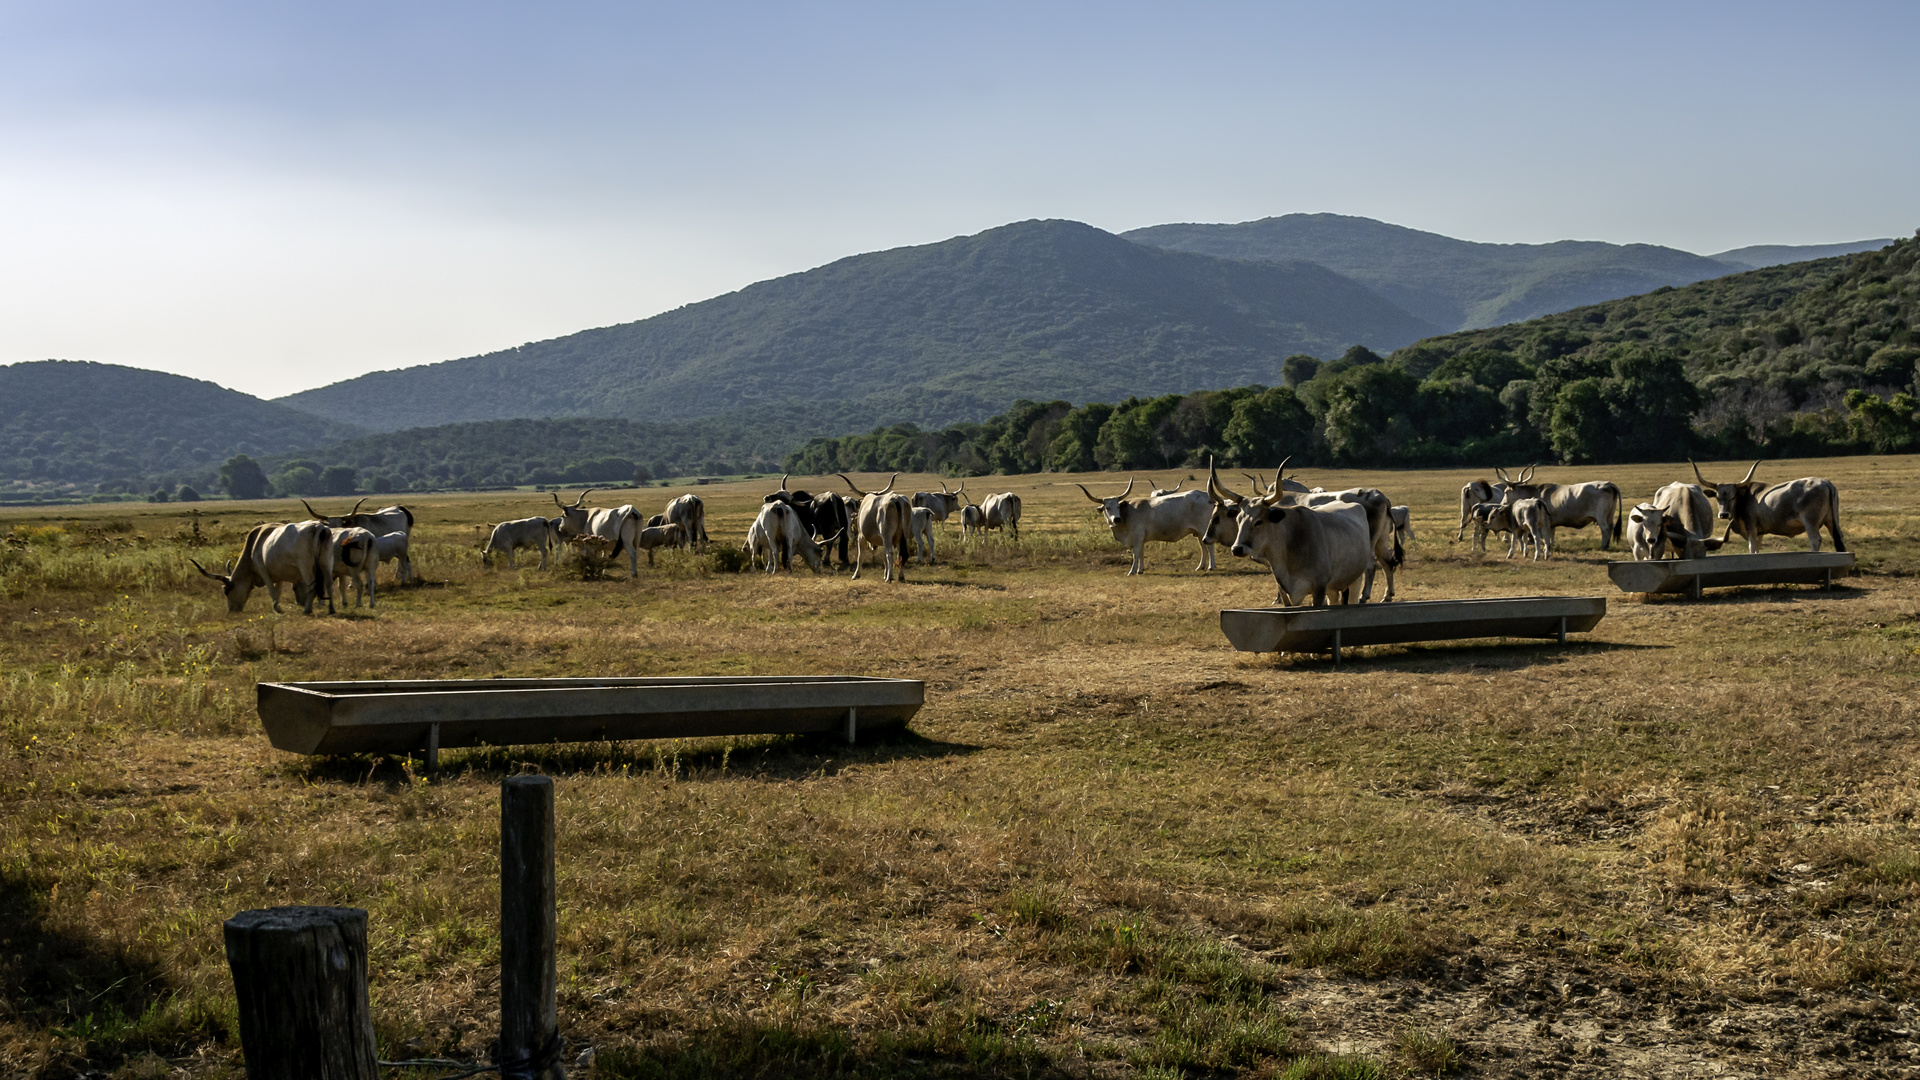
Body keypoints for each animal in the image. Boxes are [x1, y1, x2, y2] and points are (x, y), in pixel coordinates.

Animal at [189, 522, 336, 614]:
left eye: (226, 591)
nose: (232, 611)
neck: (255, 543)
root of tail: (318, 527)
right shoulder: (278, 574)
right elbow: (278, 590)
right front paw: (277, 606)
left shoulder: (263, 570)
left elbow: (272, 591)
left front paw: (278, 609)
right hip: (327, 564)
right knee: (329, 584)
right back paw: (332, 610)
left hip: (305, 566)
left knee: (312, 586)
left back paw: (307, 610)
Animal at [1082, 472, 1213, 572]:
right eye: (1107, 508)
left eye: (1118, 506)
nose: (1116, 519)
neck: (1127, 515)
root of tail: (1207, 496)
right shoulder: (1141, 538)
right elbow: (1141, 553)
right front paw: (1140, 570)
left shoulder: (1137, 536)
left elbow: (1136, 553)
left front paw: (1132, 571)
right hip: (1198, 533)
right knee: (1203, 547)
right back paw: (1200, 567)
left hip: (1204, 529)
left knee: (1209, 546)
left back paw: (1211, 566)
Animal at [1482, 463, 1620, 545]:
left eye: (1505, 492)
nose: (1501, 503)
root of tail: (1608, 484)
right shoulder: (1552, 522)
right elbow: (1551, 534)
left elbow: (1545, 535)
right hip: (1609, 515)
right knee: (1611, 527)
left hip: (1601, 517)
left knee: (1605, 529)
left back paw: (1603, 546)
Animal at [1697, 457, 1843, 549]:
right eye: (1717, 497)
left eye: (1733, 497)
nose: (1723, 514)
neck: (1746, 497)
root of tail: (1825, 482)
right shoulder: (1760, 533)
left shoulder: (1751, 529)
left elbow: (1752, 547)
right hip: (1831, 521)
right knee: (1838, 536)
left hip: (1810, 523)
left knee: (1815, 540)